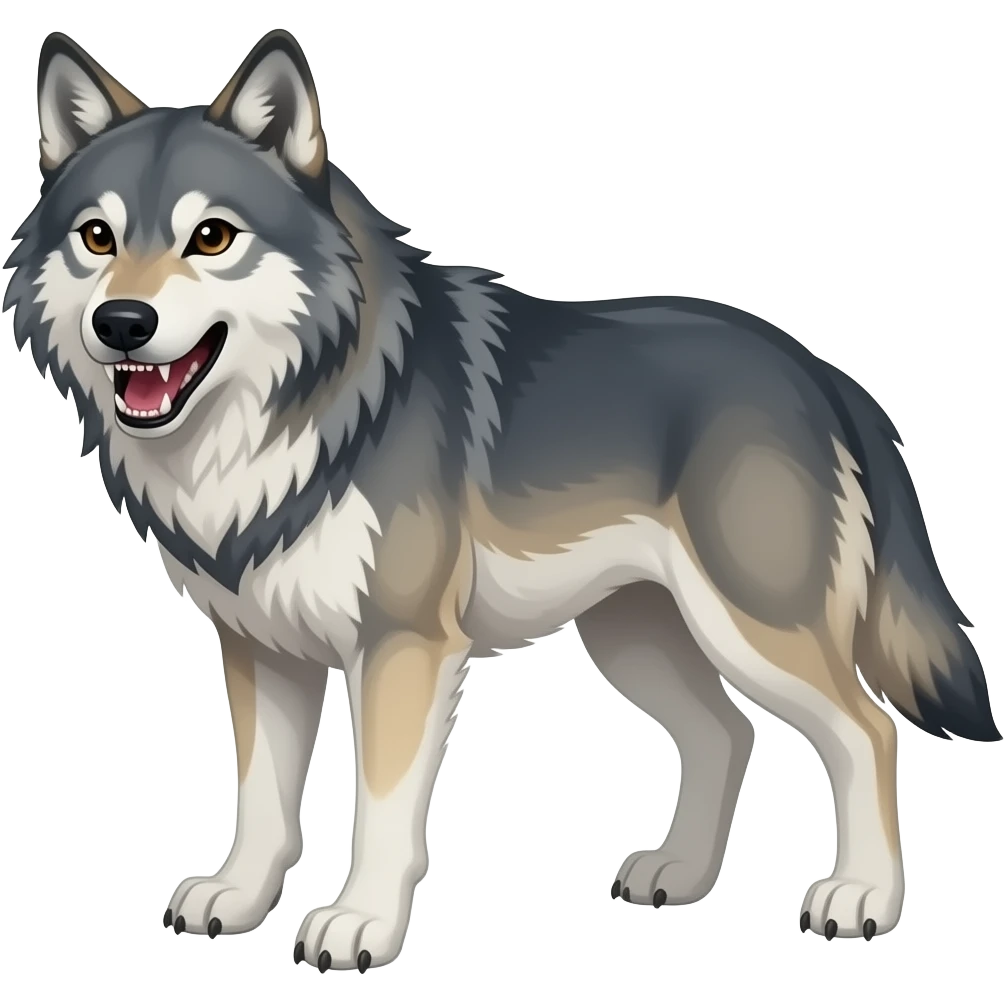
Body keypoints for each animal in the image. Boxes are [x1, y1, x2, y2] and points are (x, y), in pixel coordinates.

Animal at [5, 27, 999, 971]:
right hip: (636, 639)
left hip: (754, 630)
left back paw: (862, 899)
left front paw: (360, 925)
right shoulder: (260, 648)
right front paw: (239, 899)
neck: (296, 413)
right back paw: (679, 874)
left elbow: (382, 805)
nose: (121, 324)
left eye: (211, 237)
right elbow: (263, 801)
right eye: (97, 238)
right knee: (727, 733)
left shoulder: (402, 646)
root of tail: (822, 372)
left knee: (867, 730)